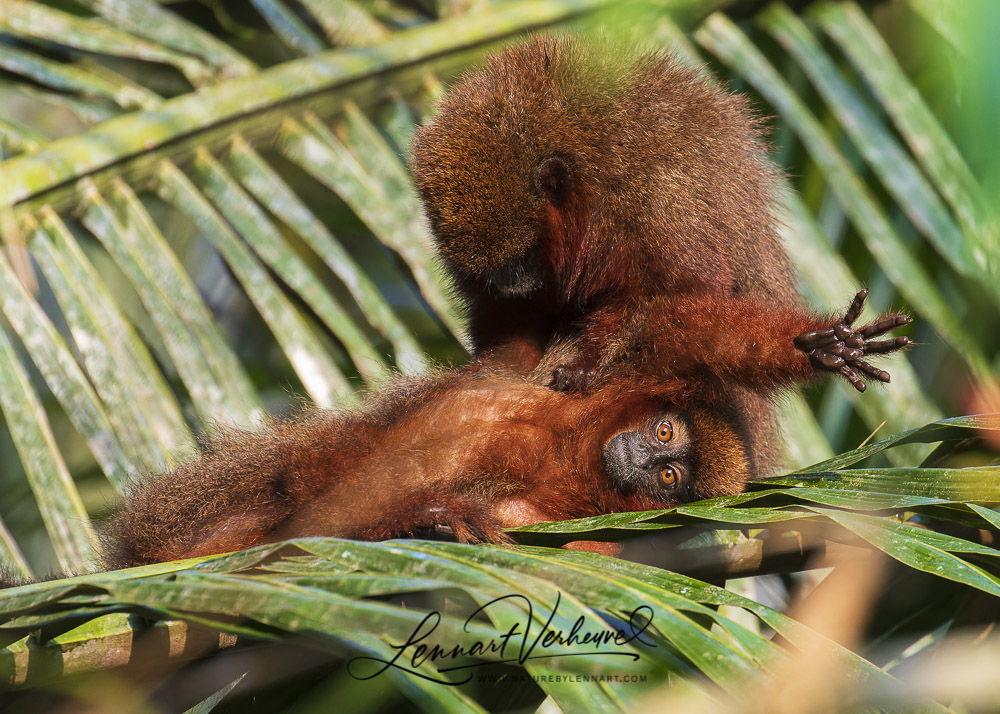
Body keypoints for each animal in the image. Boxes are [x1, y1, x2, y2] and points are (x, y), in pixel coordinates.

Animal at [105, 368, 752, 568]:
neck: (565, 461)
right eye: (663, 433)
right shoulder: (506, 405)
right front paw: (428, 513)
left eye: (669, 479)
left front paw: (433, 519)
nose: (643, 458)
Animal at [410, 34, 912, 400]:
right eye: (494, 272)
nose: (511, 285)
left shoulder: (654, 203)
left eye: (521, 259)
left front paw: (820, 344)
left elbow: (677, 303)